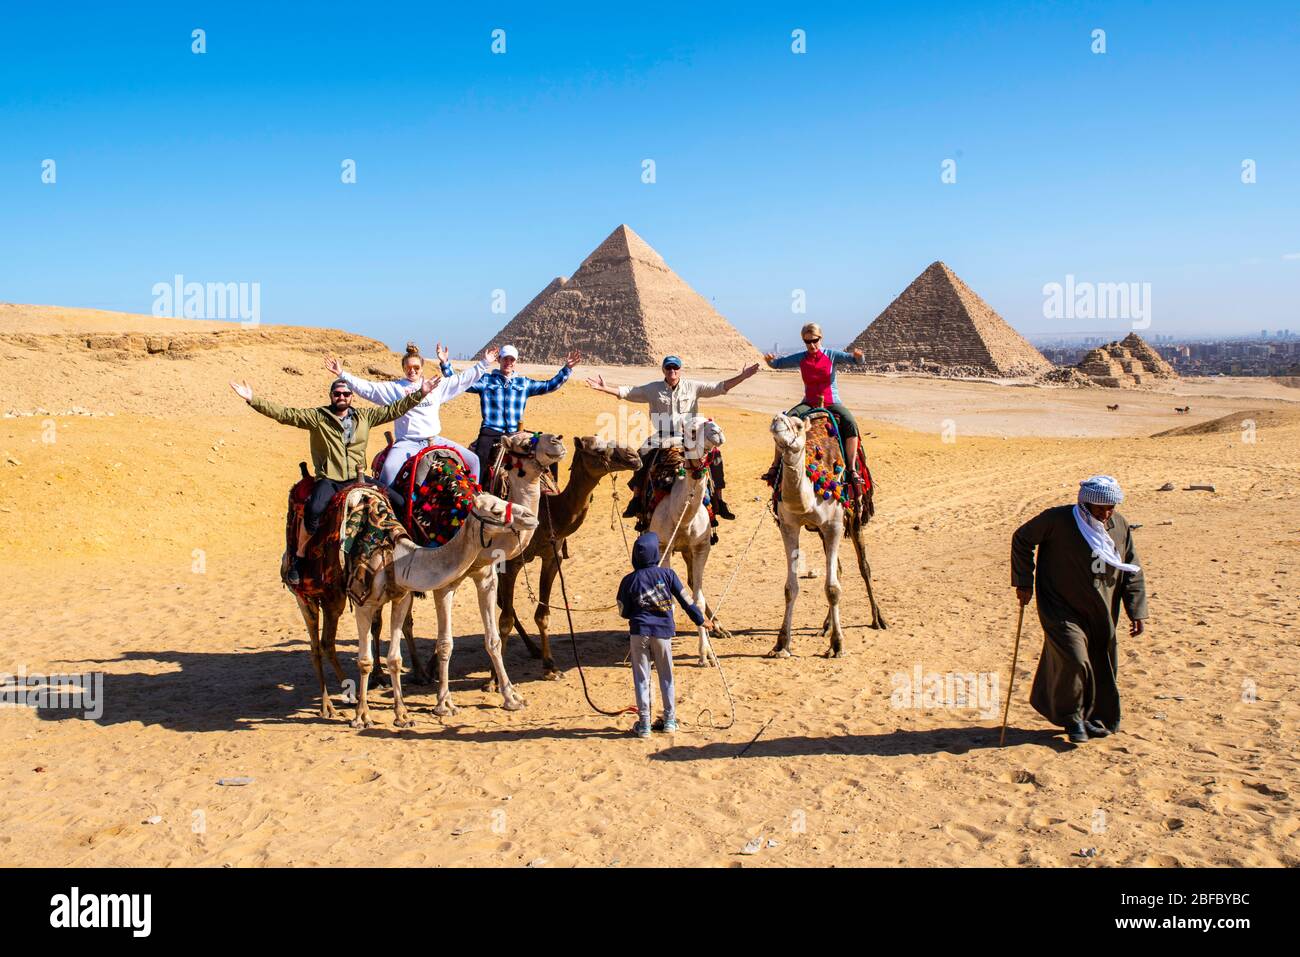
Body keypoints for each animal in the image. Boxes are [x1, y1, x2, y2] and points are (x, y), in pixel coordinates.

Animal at [493, 436, 642, 676]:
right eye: (598, 450)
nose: (634, 456)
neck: (547, 511)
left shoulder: (552, 558)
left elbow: (542, 615)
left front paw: (550, 666)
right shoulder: (510, 563)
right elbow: (505, 620)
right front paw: (495, 677)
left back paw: (533, 649)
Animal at [650, 416, 733, 670]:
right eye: (693, 431)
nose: (718, 432)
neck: (681, 515)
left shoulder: (700, 547)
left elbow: (698, 597)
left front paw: (705, 654)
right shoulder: (663, 547)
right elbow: (667, 595)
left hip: (689, 550)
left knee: (693, 584)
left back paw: (719, 627)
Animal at [764, 410, 889, 657]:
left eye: (798, 425)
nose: (777, 419)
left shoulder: (834, 524)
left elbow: (832, 589)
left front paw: (837, 645)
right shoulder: (788, 526)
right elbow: (790, 588)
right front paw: (781, 644)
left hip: (854, 516)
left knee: (864, 567)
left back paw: (877, 619)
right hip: (823, 531)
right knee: (838, 569)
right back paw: (826, 625)